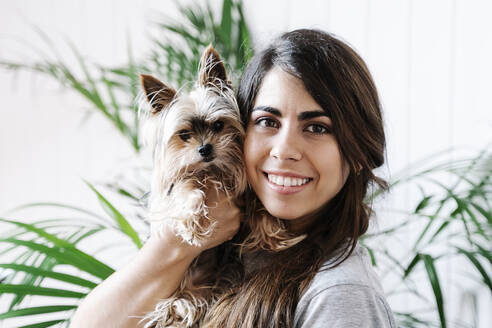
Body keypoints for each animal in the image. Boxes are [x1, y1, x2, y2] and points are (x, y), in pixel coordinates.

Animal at [138, 45, 246, 328]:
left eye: (218, 125)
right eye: (184, 135)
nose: (205, 149)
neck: (209, 170)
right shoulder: (175, 187)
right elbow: (189, 187)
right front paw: (192, 223)